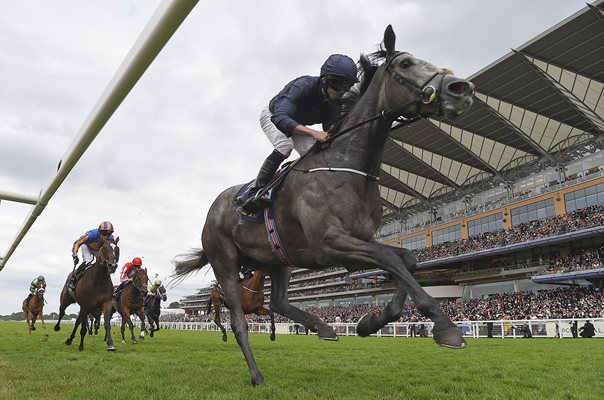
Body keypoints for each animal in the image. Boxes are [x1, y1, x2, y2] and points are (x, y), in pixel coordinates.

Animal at [172, 25, 474, 384]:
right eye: (405, 64)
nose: (460, 88)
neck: (349, 166)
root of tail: (213, 209)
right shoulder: (331, 242)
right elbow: (391, 259)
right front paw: (445, 327)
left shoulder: (357, 243)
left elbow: (406, 260)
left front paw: (370, 322)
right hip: (226, 263)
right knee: (238, 322)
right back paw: (257, 374)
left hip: (278, 262)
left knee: (278, 303)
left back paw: (323, 327)